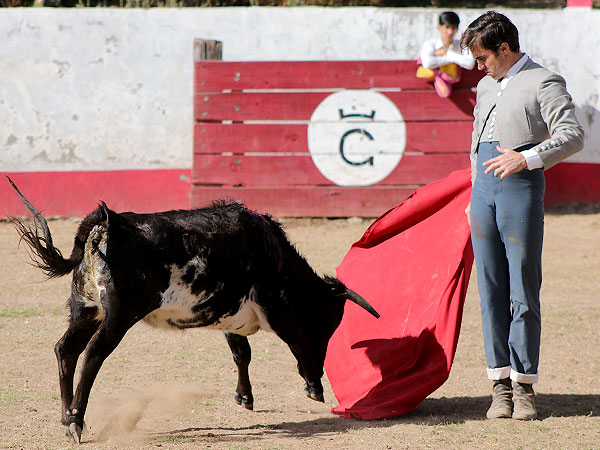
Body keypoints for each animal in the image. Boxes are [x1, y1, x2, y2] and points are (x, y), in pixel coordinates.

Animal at [5, 178, 380, 442]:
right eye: (327, 322)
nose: (320, 374)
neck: (273, 254)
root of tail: (108, 222)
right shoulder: (279, 311)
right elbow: (294, 345)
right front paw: (314, 387)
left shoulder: (229, 310)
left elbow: (240, 352)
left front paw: (245, 398)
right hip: (120, 315)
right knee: (93, 354)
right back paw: (76, 421)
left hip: (85, 308)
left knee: (66, 350)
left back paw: (66, 417)